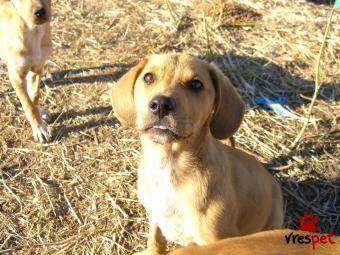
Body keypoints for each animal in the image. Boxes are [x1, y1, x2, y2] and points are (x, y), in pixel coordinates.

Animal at [0, 0, 52, 141]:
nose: (40, 12)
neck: (33, 31)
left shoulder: (37, 68)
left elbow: (34, 96)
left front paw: (40, 116)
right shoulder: (16, 76)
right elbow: (28, 104)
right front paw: (38, 128)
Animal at [109, 52, 284, 254]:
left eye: (196, 84)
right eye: (148, 77)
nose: (161, 104)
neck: (168, 165)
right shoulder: (154, 214)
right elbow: (155, 240)